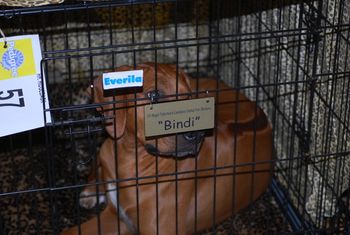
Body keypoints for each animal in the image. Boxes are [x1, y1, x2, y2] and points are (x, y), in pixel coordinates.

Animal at [62, 63, 274, 235]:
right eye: (153, 95)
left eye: (188, 97)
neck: (131, 157)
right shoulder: (115, 215)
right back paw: (91, 190)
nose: (197, 134)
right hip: (105, 148)